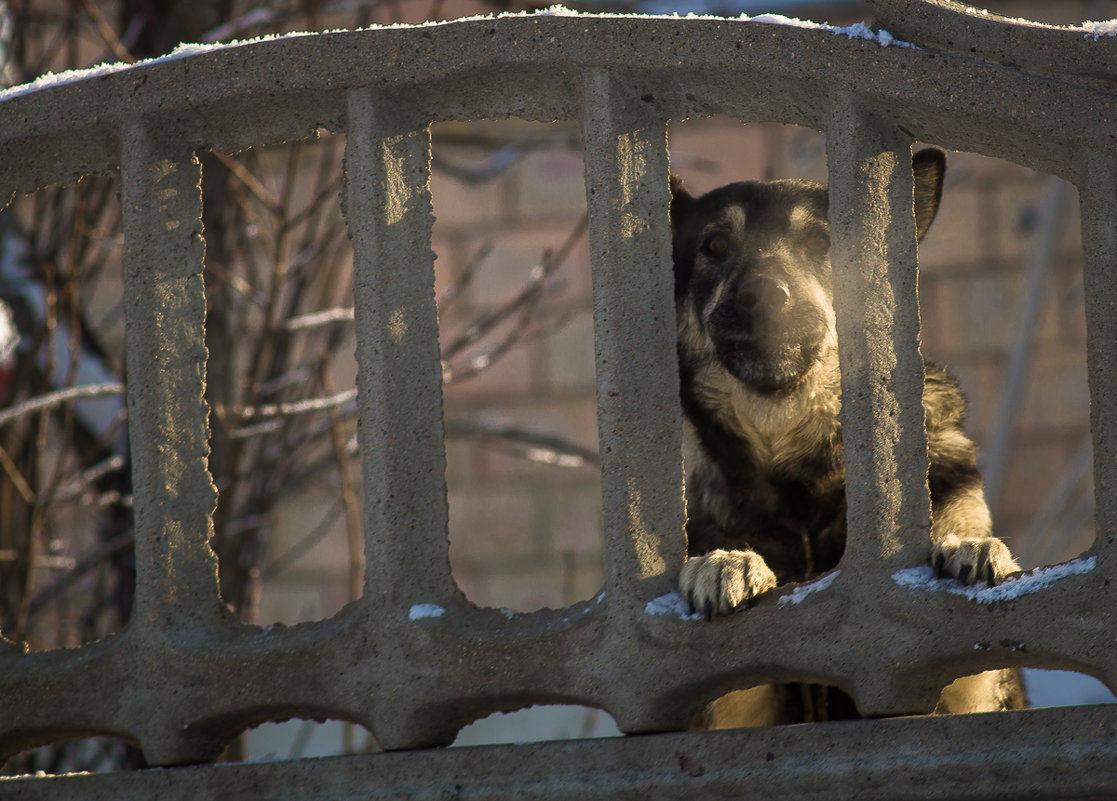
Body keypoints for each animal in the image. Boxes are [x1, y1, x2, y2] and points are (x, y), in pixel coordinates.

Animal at [665, 146, 1023, 728]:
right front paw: (728, 562)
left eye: (821, 243)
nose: (763, 293)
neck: (801, 482)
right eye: (715, 245)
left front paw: (969, 548)